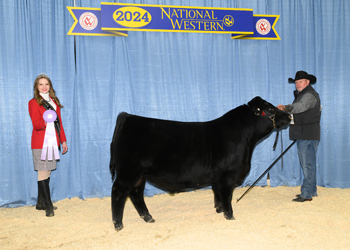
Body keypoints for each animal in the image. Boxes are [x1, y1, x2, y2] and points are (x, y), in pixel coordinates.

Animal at [109, 96, 290, 230]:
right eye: (271, 109)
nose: (288, 116)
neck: (246, 140)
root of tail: (128, 116)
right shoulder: (229, 175)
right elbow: (227, 196)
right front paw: (230, 216)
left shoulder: (218, 177)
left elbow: (217, 194)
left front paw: (218, 210)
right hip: (128, 172)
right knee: (119, 192)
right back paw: (118, 225)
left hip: (140, 175)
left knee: (136, 193)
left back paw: (148, 218)